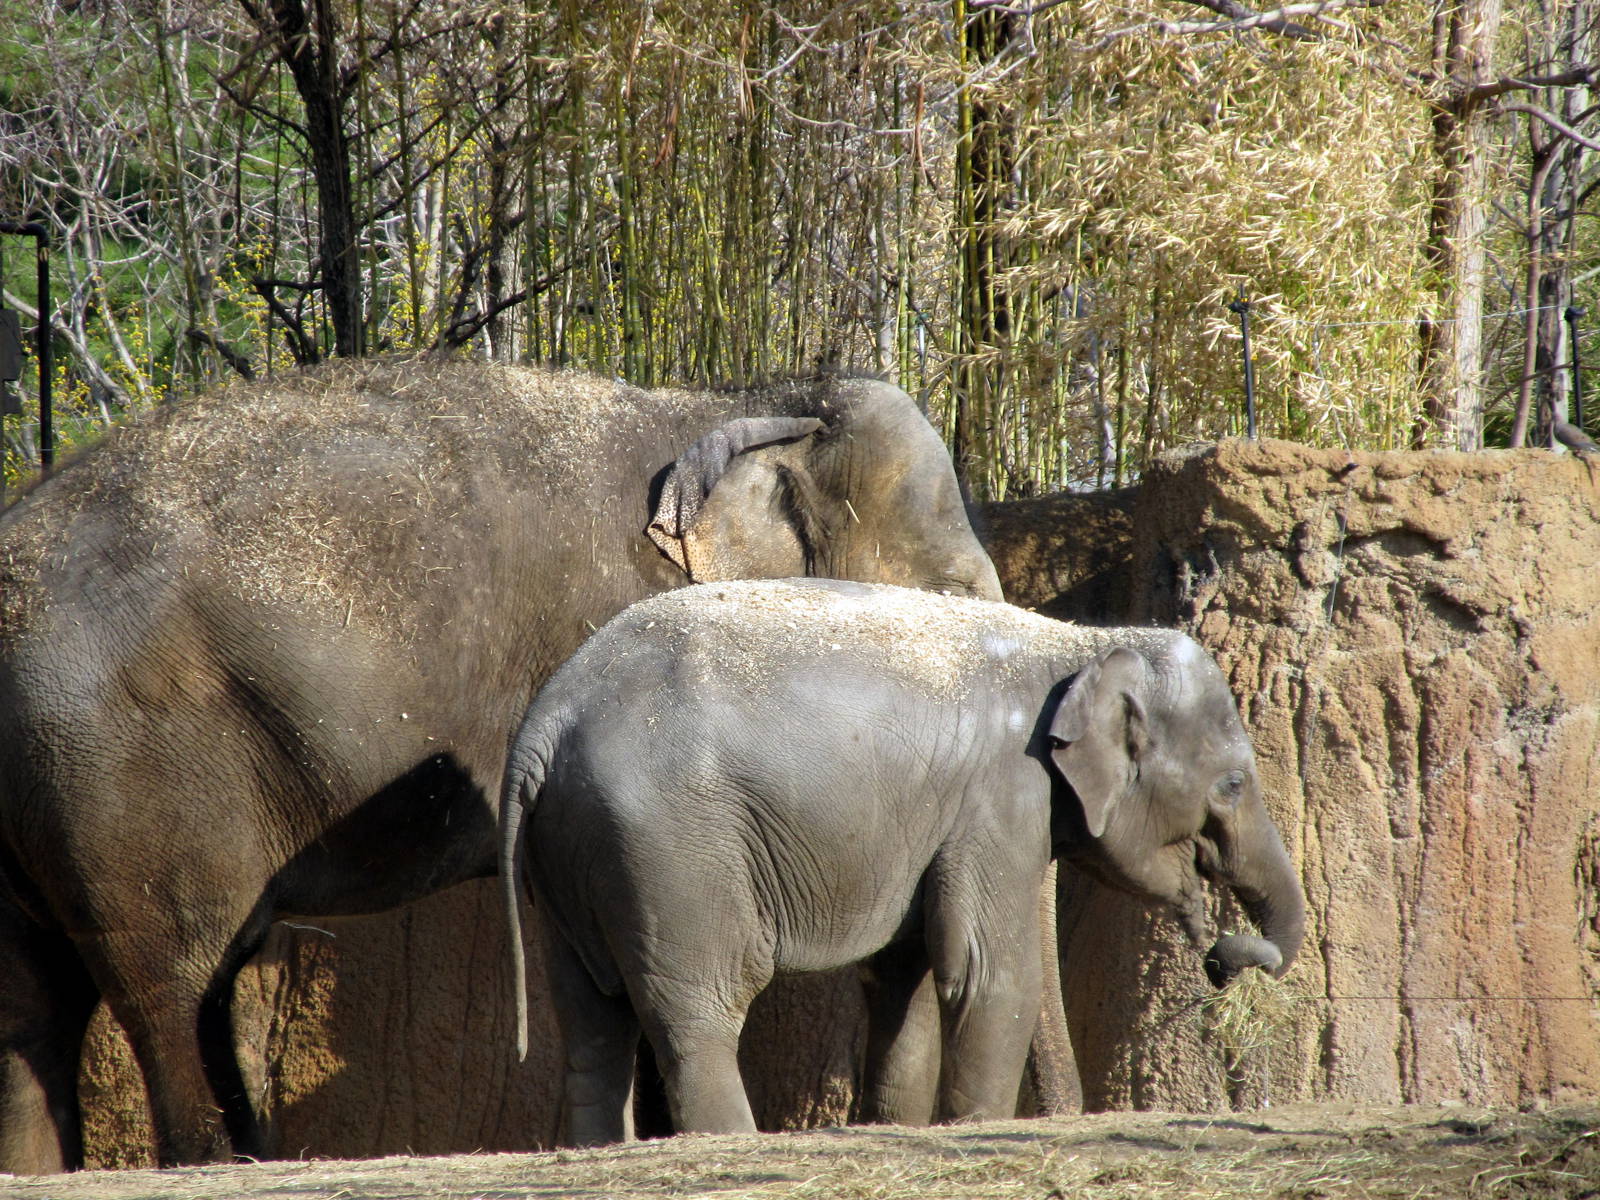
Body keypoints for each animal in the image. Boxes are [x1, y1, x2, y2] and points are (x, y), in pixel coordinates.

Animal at [0, 356, 1004, 1173]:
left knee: (35, 1006)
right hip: (119, 773)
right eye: (954, 594)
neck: (750, 399)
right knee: (174, 979)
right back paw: (218, 1161)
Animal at [499, 578, 1307, 1145]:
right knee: (700, 1008)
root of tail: (545, 723)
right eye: (1233, 784)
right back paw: (729, 1140)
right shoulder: (999, 796)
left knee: (591, 1022)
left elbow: (904, 981)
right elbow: (987, 971)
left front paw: (895, 1123)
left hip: (573, 854)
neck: (1079, 646)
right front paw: (976, 1129)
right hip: (668, 847)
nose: (1221, 955)